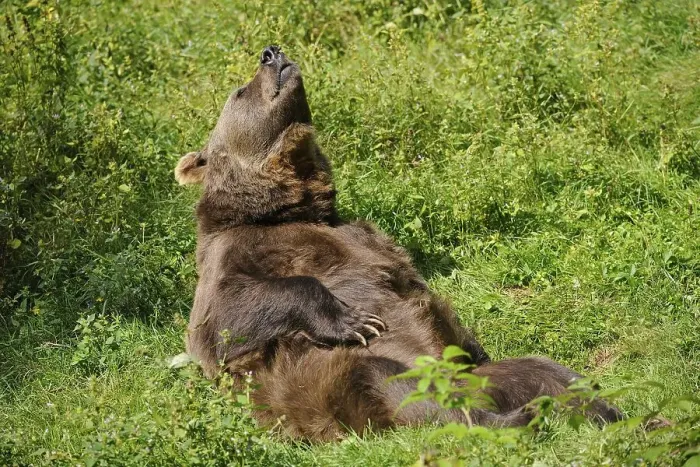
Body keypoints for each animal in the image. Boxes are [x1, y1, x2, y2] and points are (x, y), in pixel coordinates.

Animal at [175, 45, 623, 441]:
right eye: (240, 91)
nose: (272, 52)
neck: (286, 206)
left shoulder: (368, 237)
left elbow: (412, 282)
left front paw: (474, 343)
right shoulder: (233, 251)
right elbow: (222, 318)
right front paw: (356, 320)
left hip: (486, 376)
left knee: (545, 370)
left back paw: (606, 411)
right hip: (335, 381)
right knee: (401, 387)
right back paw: (516, 418)